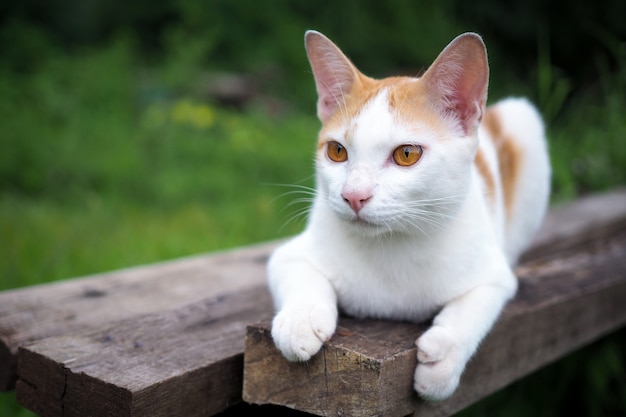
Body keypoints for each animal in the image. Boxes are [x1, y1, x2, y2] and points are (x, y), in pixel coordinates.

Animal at [266, 30, 548, 400]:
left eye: (407, 154)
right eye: (337, 151)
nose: (353, 195)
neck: (392, 244)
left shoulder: (495, 275)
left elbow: (477, 306)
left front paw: (443, 358)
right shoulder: (289, 253)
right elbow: (299, 272)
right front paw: (300, 319)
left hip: (524, 121)